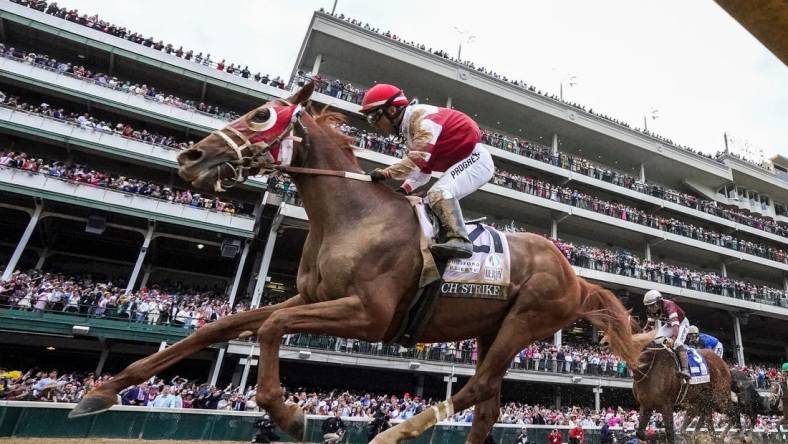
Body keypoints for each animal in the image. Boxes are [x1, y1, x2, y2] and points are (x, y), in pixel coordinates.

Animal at [69, 83, 652, 444]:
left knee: (477, 387)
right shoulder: (314, 296)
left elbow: (273, 328)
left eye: (262, 115)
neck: (351, 215)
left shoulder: (371, 315)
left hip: (527, 319)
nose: (189, 157)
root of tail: (574, 272)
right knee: (487, 403)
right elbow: (225, 326)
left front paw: (289, 413)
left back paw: (395, 431)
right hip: (495, 327)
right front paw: (101, 390)